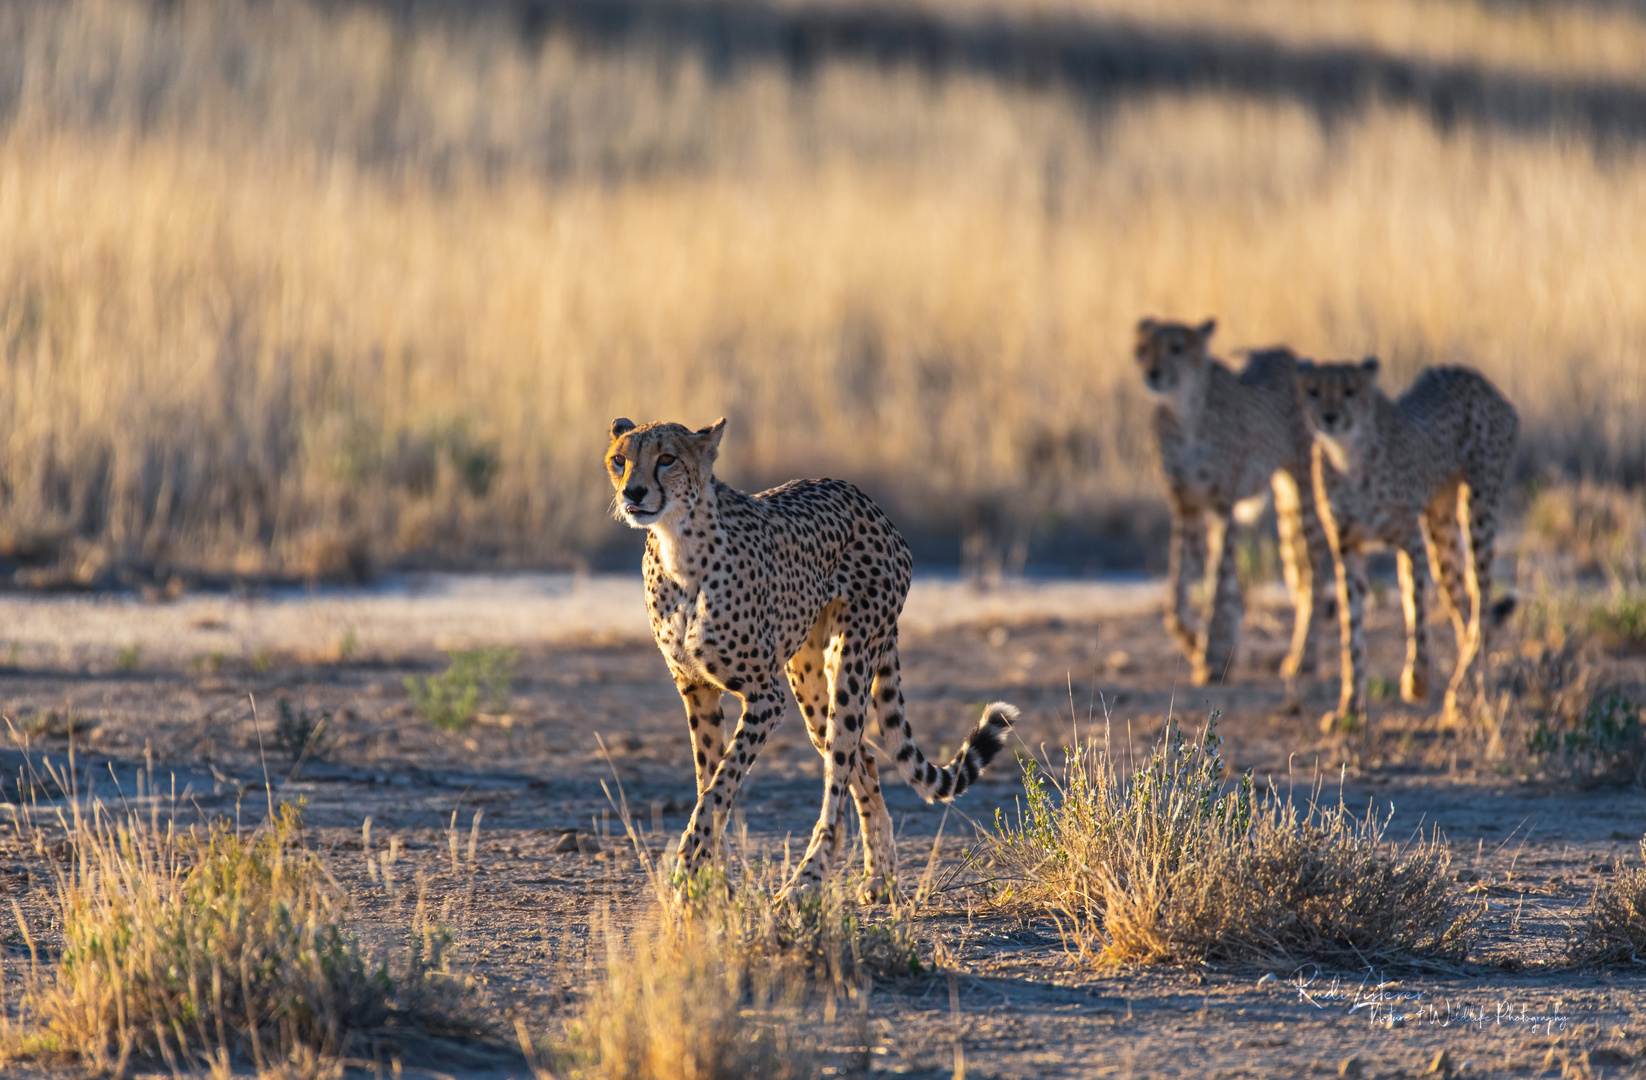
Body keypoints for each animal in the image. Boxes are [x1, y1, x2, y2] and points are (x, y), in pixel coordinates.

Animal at [605, 418, 1013, 895]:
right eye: (620, 459)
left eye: (667, 458)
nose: (633, 493)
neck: (679, 549)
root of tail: (863, 497)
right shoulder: (697, 689)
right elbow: (709, 780)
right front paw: (711, 885)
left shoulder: (765, 697)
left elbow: (721, 784)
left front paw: (690, 865)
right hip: (807, 680)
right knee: (863, 761)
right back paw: (880, 877)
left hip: (851, 661)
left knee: (840, 768)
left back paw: (806, 883)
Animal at [1145, 321, 1336, 688]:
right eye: (1144, 348)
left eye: (1177, 347)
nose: (1153, 373)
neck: (1184, 412)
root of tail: (1288, 354)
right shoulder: (1187, 507)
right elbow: (1177, 597)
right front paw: (1201, 647)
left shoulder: (1223, 506)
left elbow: (1219, 587)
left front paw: (1212, 654)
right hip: (1284, 501)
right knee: (1294, 571)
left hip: (1305, 492)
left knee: (1314, 576)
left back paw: (1304, 658)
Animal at [1297, 358, 1514, 730]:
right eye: (1313, 391)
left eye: (1349, 391)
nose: (1329, 417)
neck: (1348, 456)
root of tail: (1476, 378)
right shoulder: (1347, 548)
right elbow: (1351, 632)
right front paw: (1349, 710)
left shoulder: (1409, 542)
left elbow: (1417, 614)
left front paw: (1417, 682)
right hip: (1441, 528)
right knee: (1466, 608)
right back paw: (1469, 699)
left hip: (1478, 512)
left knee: (1482, 606)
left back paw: (1463, 693)